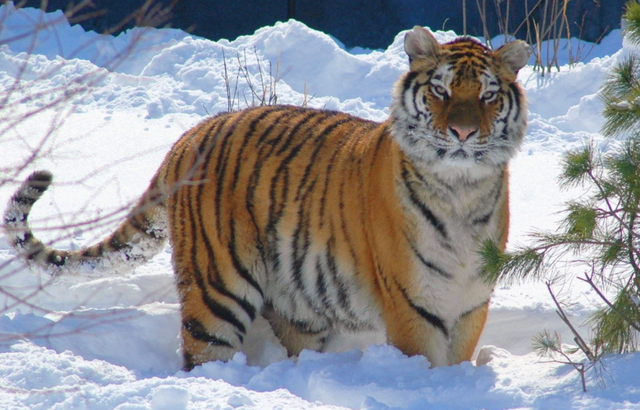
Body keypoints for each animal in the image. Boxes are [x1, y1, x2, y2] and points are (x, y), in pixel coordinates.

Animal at [3, 26, 529, 370]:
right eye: (441, 90)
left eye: (487, 96)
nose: (462, 133)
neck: (461, 190)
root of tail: (188, 136)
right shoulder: (412, 303)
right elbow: (425, 361)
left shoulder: (470, 301)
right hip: (217, 291)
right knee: (202, 356)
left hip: (299, 298)